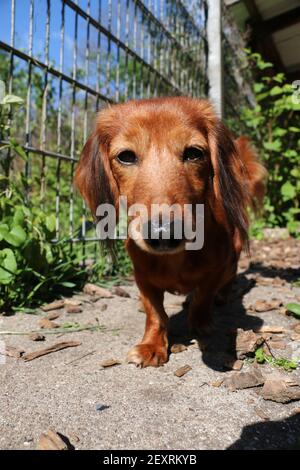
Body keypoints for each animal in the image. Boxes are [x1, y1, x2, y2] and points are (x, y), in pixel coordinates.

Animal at [75, 95, 264, 368]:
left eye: (194, 153)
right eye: (126, 156)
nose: (163, 232)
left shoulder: (215, 270)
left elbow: (203, 297)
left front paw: (200, 322)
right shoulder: (142, 277)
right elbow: (156, 313)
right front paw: (152, 345)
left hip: (233, 257)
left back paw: (223, 296)